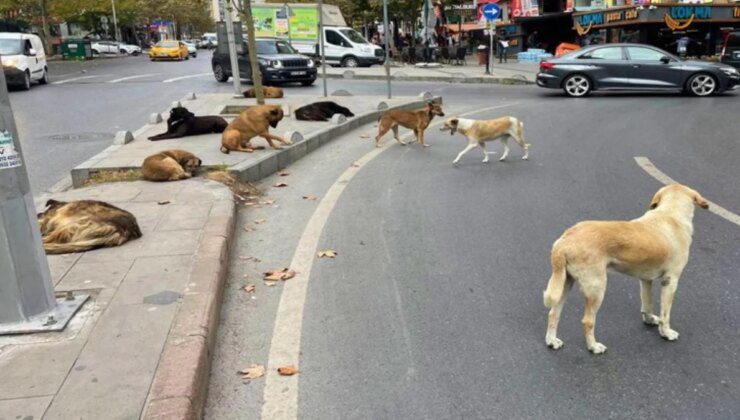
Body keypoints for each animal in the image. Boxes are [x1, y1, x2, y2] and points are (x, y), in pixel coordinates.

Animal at [544, 184, 712, 354]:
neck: (670, 213)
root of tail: (565, 240)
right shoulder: (670, 281)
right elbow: (666, 314)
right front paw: (666, 333)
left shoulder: (645, 279)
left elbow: (647, 303)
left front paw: (649, 319)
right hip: (596, 289)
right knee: (587, 321)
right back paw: (593, 347)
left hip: (564, 284)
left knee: (553, 313)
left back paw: (552, 341)